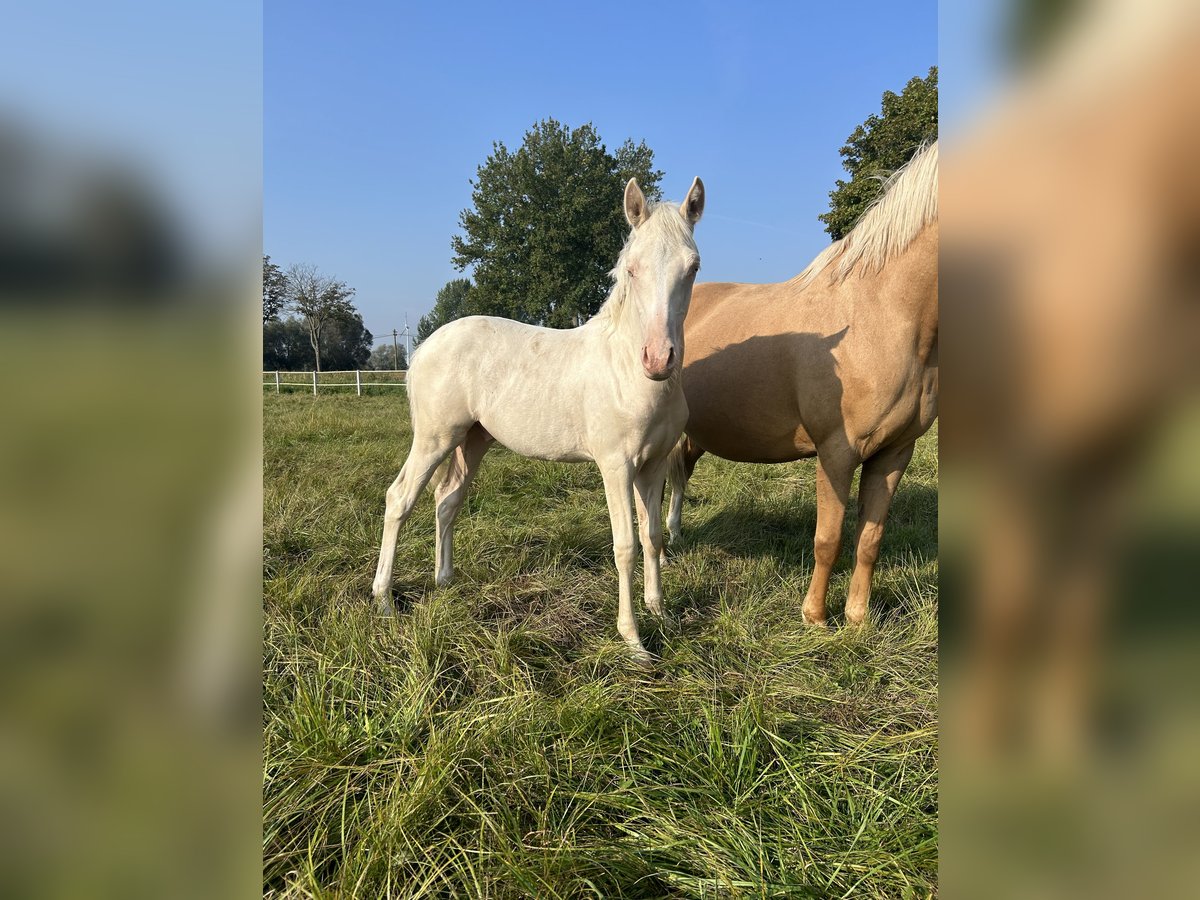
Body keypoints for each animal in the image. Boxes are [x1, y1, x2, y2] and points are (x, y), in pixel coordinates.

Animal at [364, 180, 700, 667]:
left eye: (692, 267)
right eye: (632, 269)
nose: (658, 359)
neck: (626, 371)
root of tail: (425, 346)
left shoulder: (652, 467)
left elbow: (653, 537)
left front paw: (661, 614)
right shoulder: (616, 467)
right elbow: (626, 547)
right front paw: (634, 640)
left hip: (474, 439)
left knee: (447, 498)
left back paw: (446, 581)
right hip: (434, 438)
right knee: (400, 498)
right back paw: (385, 599)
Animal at [667, 146, 936, 628]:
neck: (885, 313)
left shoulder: (895, 452)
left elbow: (870, 539)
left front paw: (858, 619)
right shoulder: (836, 452)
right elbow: (828, 539)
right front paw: (815, 617)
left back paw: (675, 535)